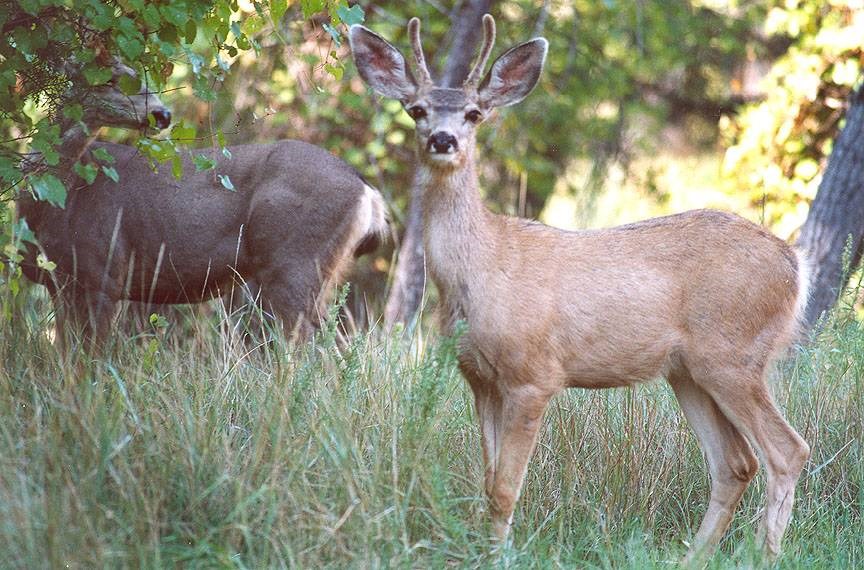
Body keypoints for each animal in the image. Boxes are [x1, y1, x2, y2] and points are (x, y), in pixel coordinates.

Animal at [16, 56, 388, 350]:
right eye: (109, 79)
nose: (162, 114)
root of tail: (366, 189)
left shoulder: (103, 274)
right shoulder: (60, 284)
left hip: (294, 263)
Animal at [350, 14, 808, 564]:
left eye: (474, 113)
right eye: (416, 109)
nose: (442, 140)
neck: (481, 270)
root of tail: (794, 264)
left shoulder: (534, 374)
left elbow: (505, 487)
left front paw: (501, 558)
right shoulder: (479, 377)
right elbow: (487, 481)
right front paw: (489, 551)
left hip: (733, 355)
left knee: (787, 450)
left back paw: (763, 555)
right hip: (688, 371)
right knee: (736, 463)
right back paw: (690, 557)